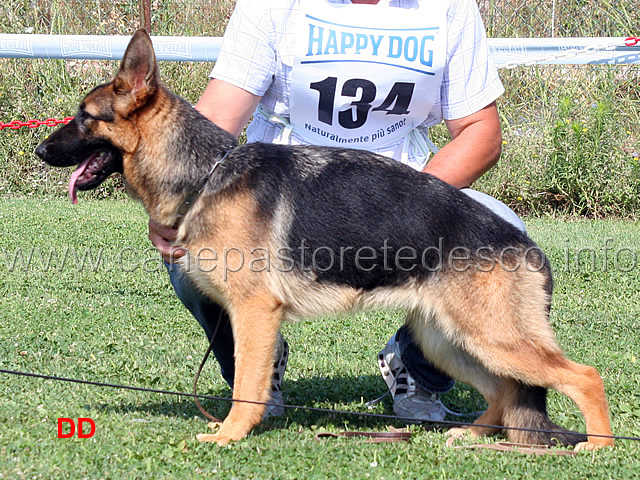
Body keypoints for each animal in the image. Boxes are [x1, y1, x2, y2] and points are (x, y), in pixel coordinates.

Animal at [36, 31, 616, 450]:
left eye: (84, 118)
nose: (40, 150)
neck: (207, 173)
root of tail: (525, 245)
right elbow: (252, 379)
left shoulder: (254, 312)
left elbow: (246, 385)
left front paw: (229, 436)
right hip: (451, 339)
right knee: (503, 392)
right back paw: (471, 436)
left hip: (491, 338)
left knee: (583, 375)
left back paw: (598, 447)